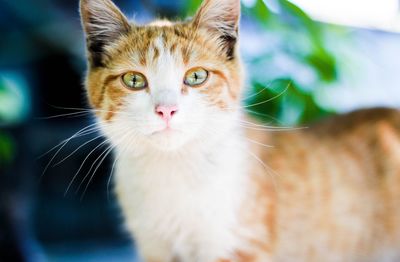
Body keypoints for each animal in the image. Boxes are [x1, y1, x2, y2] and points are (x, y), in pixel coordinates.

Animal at [79, 0, 400, 260]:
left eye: (196, 76)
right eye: (134, 80)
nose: (166, 110)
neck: (173, 170)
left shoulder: (241, 245)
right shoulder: (155, 247)